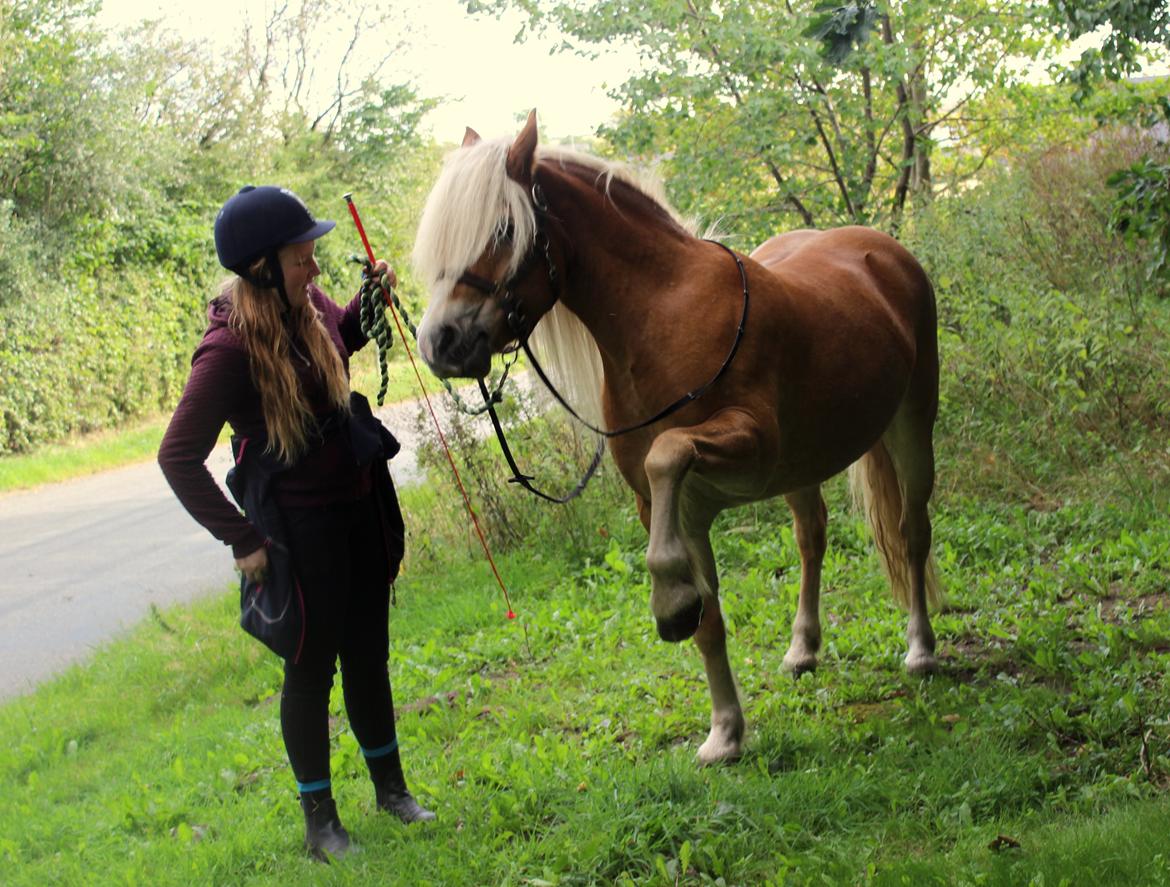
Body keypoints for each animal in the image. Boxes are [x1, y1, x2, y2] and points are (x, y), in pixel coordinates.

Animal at [411, 111, 940, 762]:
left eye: (505, 228)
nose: (439, 341)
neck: (665, 316)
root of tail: (883, 250)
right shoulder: (676, 506)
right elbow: (708, 620)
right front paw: (725, 732)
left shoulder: (746, 444)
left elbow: (668, 456)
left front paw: (669, 604)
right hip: (802, 464)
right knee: (811, 538)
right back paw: (802, 649)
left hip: (911, 425)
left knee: (911, 533)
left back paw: (921, 648)